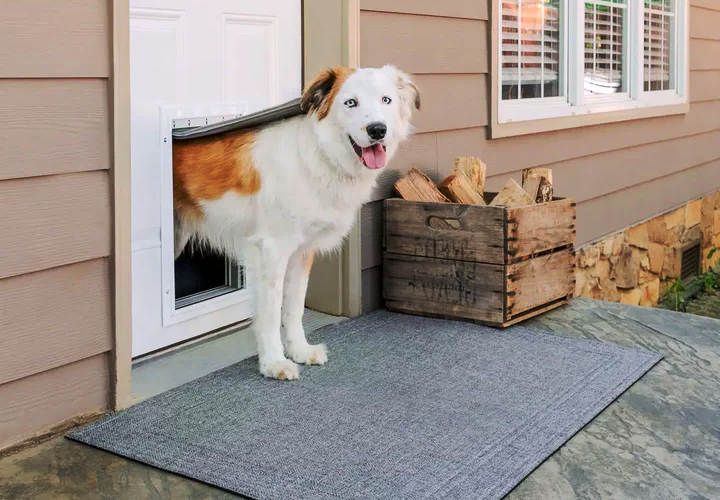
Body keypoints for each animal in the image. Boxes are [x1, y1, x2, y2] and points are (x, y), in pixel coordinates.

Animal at [172, 65, 420, 378]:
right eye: (350, 102)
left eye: (386, 100)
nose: (378, 130)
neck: (318, 156)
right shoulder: (272, 250)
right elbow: (270, 311)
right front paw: (274, 362)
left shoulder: (302, 251)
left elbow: (294, 306)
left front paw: (299, 350)